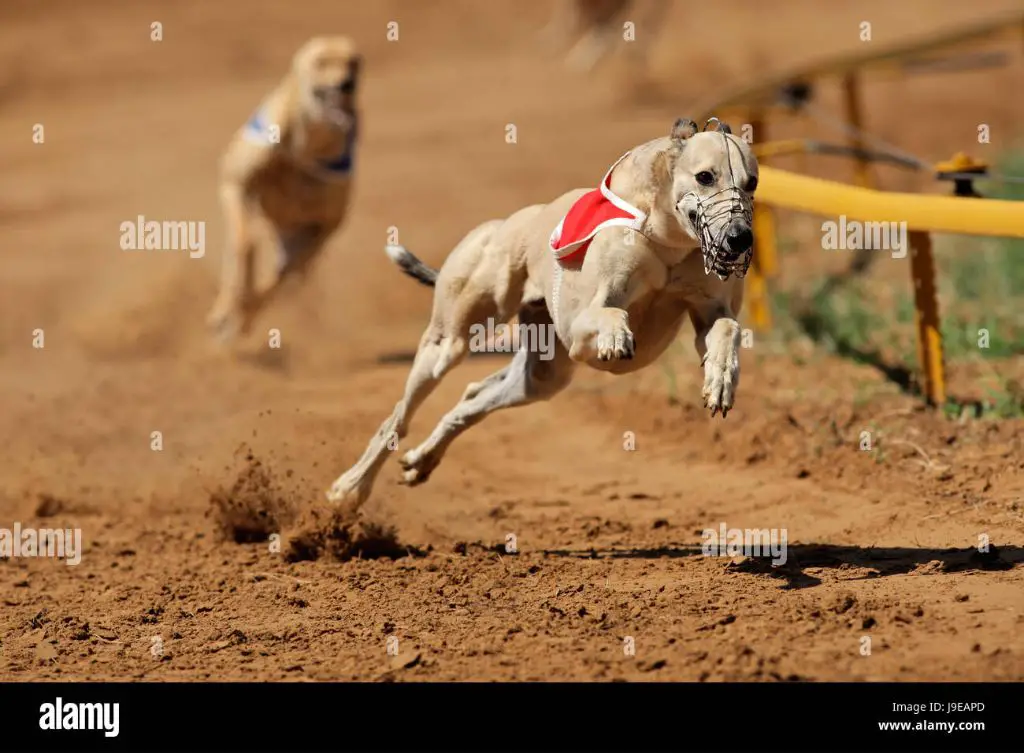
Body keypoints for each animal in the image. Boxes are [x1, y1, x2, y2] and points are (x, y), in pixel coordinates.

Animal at [205, 36, 362, 342]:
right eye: (321, 61)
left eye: (355, 62)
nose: (347, 83)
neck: (305, 146)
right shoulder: (235, 185)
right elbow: (246, 244)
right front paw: (230, 307)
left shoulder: (321, 227)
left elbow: (271, 279)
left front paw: (240, 314)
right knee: (242, 262)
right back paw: (226, 310)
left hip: (301, 245)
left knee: (281, 279)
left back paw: (242, 318)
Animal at [323, 119, 757, 506]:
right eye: (705, 176)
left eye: (751, 182)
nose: (741, 238)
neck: (669, 237)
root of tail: (506, 223)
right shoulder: (580, 328)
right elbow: (610, 314)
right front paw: (616, 336)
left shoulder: (709, 310)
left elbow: (726, 329)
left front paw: (721, 378)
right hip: (448, 343)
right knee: (398, 416)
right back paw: (350, 488)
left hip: (543, 374)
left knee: (475, 395)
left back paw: (422, 460)